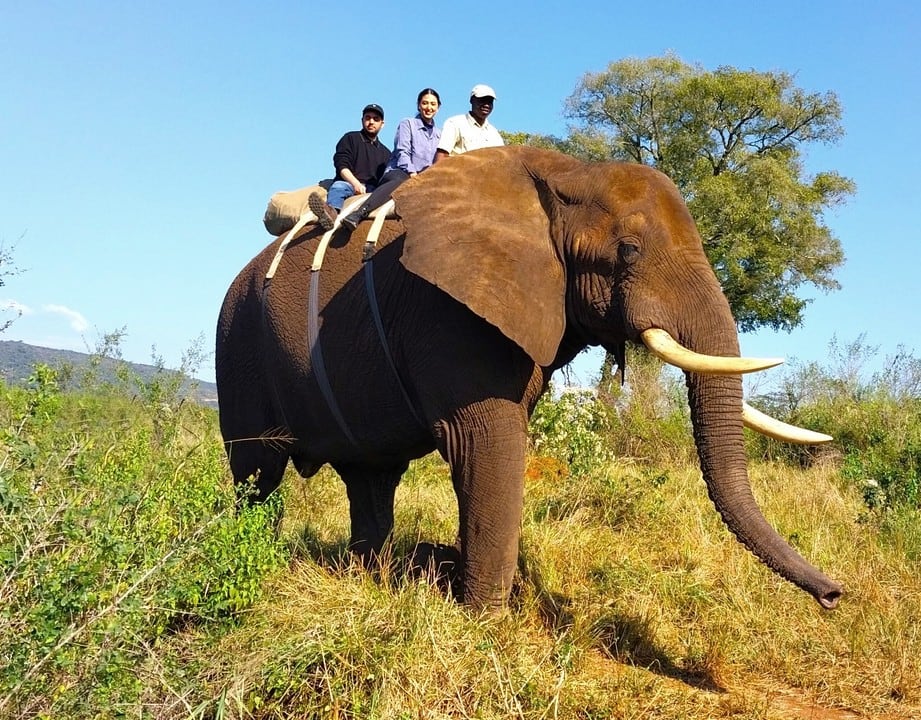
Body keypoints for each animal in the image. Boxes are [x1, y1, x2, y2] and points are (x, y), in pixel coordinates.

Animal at [215, 145, 842, 610]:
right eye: (629, 251)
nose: (834, 595)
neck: (564, 174)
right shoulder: (448, 313)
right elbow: (489, 442)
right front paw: (485, 621)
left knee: (370, 479)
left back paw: (366, 575)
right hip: (238, 343)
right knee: (257, 472)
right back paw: (251, 558)